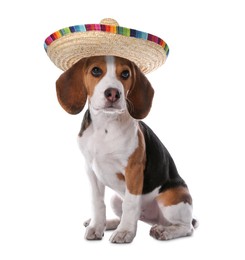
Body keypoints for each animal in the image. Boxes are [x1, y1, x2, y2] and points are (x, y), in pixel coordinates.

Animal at [55, 55, 197, 244]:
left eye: (125, 74)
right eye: (96, 71)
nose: (113, 93)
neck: (105, 124)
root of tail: (153, 219)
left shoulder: (133, 170)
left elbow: (130, 204)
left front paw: (125, 232)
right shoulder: (90, 169)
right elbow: (97, 202)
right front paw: (97, 226)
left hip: (171, 200)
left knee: (186, 227)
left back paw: (164, 231)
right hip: (115, 198)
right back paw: (109, 223)